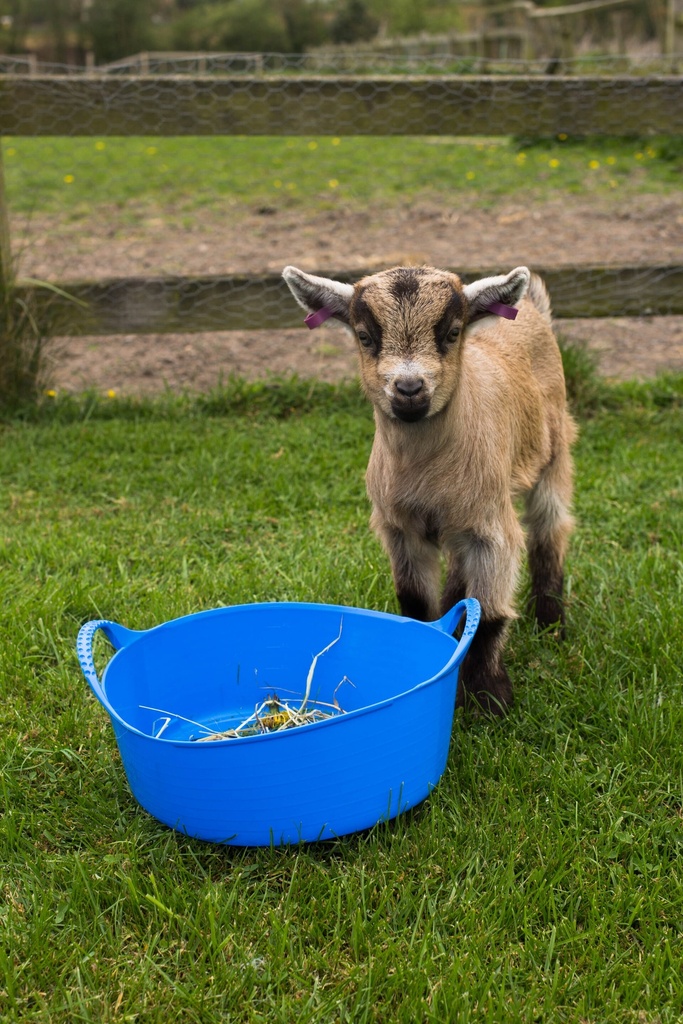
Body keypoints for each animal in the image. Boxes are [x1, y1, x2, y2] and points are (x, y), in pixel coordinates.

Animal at [282, 264, 577, 712]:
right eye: (365, 336)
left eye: (452, 333)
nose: (409, 389)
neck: (426, 471)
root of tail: (530, 307)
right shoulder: (400, 527)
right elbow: (416, 604)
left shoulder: (492, 527)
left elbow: (490, 615)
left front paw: (489, 699)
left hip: (553, 453)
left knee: (550, 528)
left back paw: (550, 621)